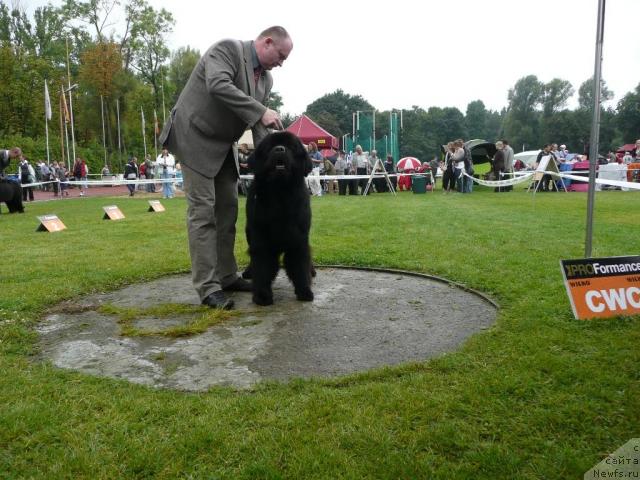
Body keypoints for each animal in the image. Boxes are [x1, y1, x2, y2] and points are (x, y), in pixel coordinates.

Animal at [245, 130, 316, 304]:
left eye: (291, 146)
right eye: (269, 146)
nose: (279, 149)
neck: (280, 193)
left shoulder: (299, 237)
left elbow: (300, 263)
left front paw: (304, 290)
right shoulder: (261, 237)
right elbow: (262, 265)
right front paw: (262, 295)